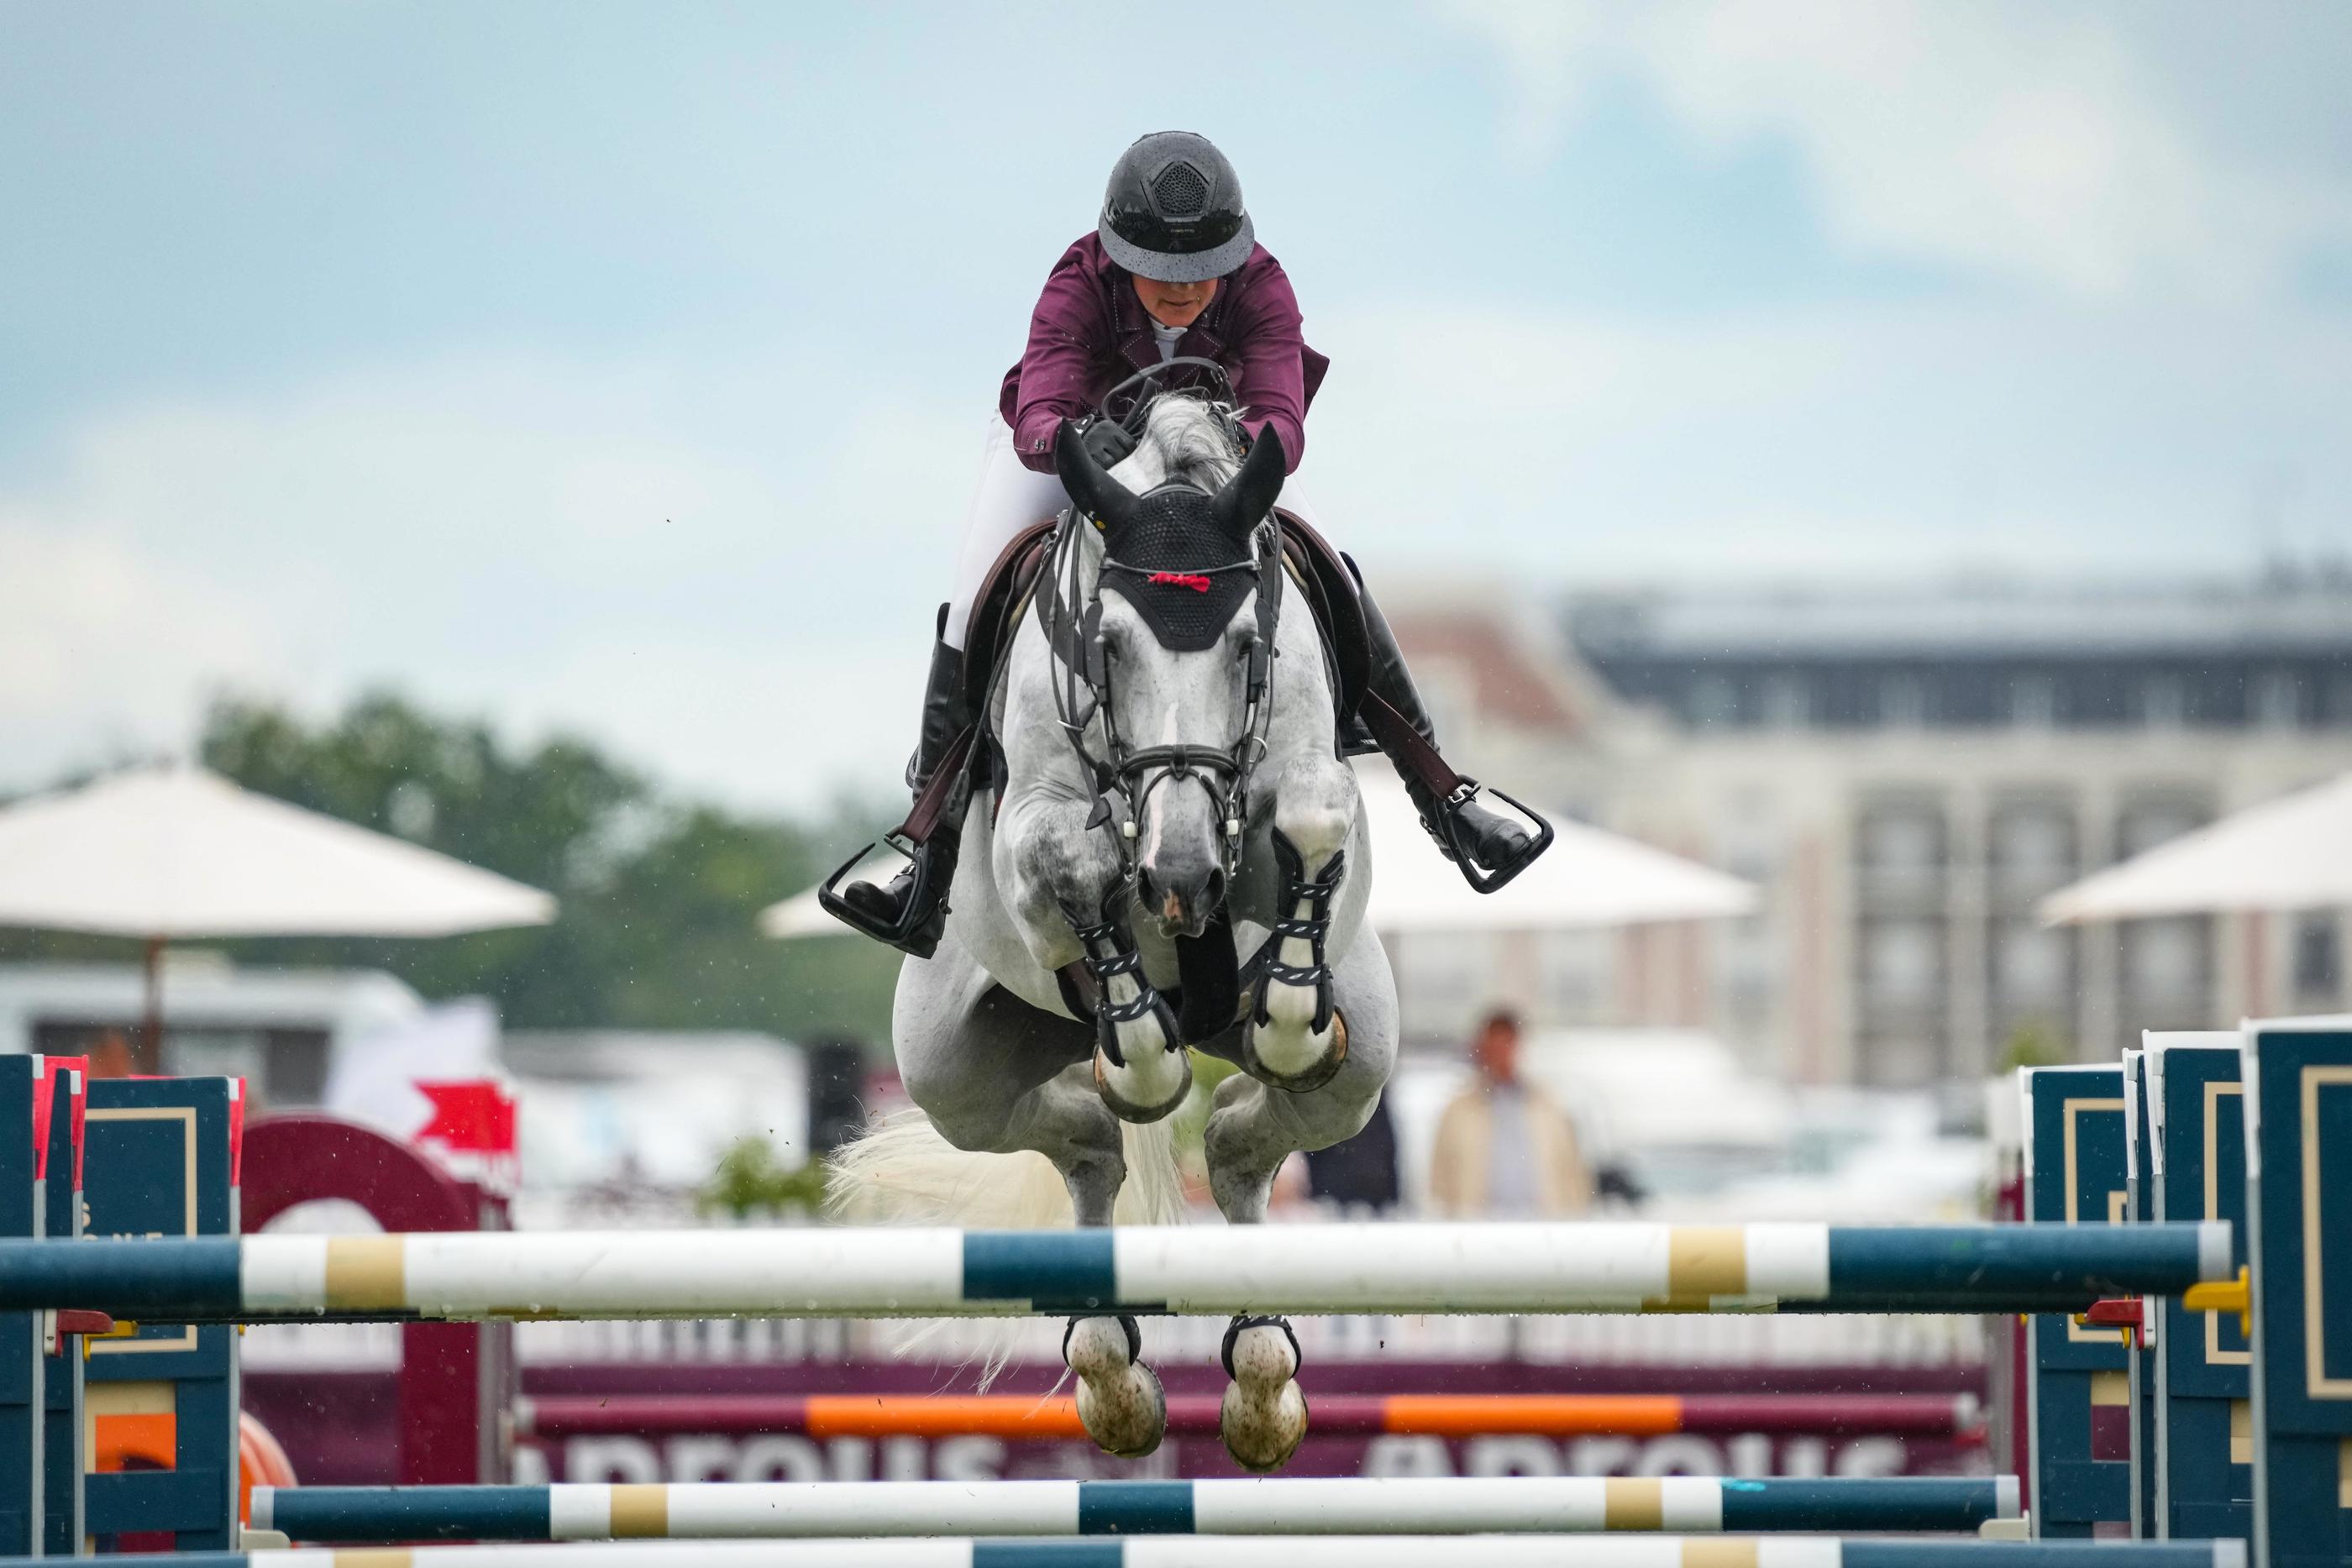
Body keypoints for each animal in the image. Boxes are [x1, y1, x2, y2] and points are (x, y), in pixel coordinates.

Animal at [837, 392, 1392, 1476]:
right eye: (1110, 643)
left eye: (1245, 646)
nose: (1179, 878)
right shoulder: (1032, 827)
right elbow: (1071, 860)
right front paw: (1140, 1051)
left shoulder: (1301, 777)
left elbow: (1314, 807)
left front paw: (1287, 1015)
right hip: (949, 1071)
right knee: (1088, 1139)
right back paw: (1110, 1362)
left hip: (1367, 1053)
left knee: (1244, 1142)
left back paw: (1260, 1367)